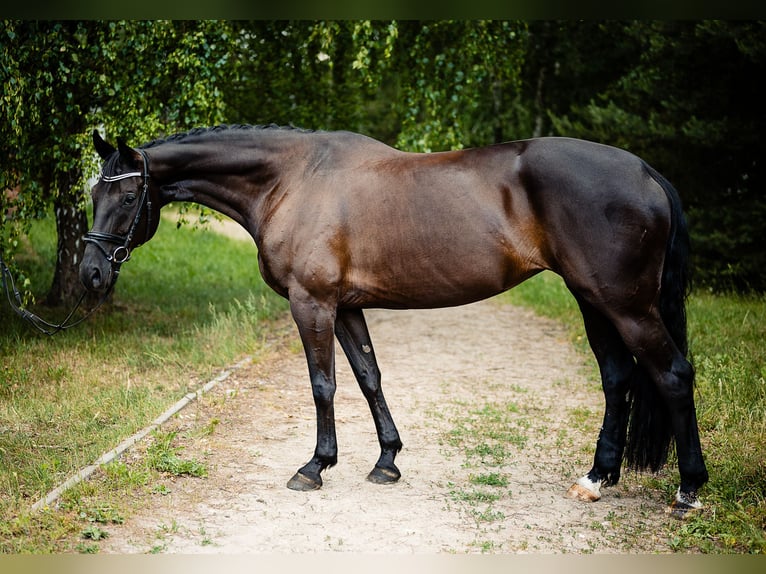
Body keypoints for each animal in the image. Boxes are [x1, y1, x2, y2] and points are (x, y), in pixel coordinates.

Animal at [82, 125, 708, 516]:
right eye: (93, 193)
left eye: (129, 196)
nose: (90, 273)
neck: (292, 179)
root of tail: (646, 173)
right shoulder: (346, 307)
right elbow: (368, 377)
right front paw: (386, 460)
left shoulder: (312, 303)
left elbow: (323, 384)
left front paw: (315, 465)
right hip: (592, 300)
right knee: (618, 379)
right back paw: (597, 479)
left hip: (624, 304)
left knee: (673, 375)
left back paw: (688, 491)